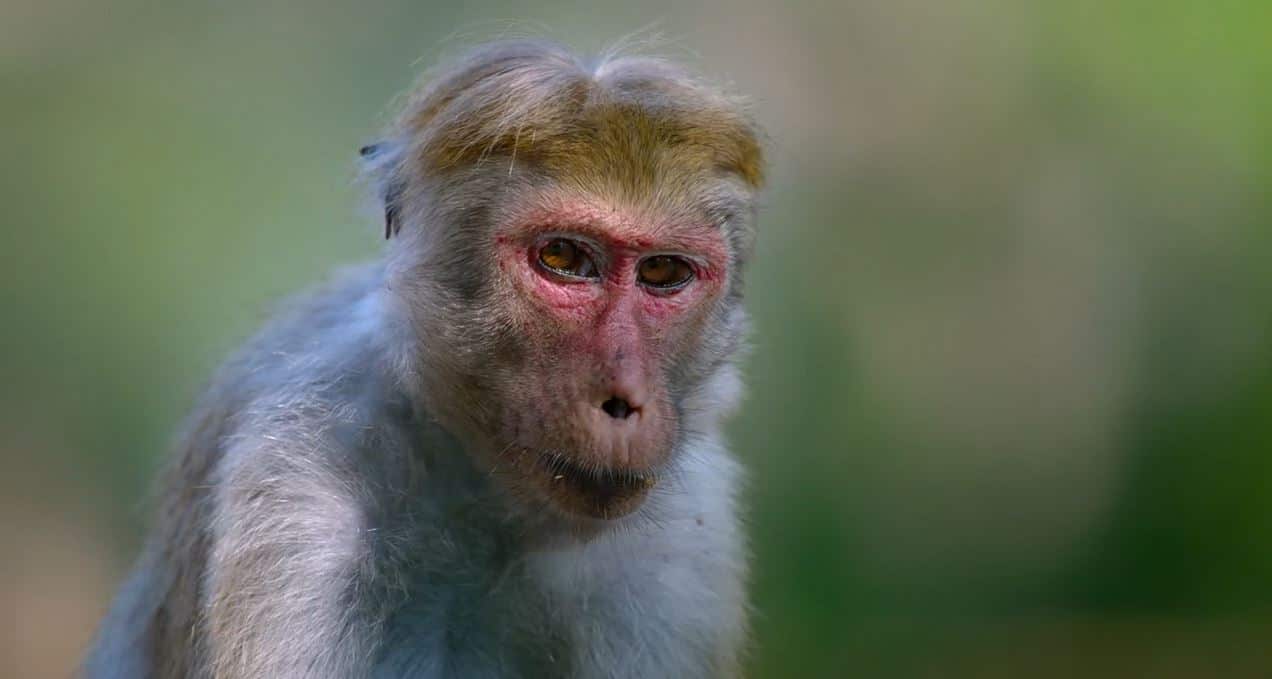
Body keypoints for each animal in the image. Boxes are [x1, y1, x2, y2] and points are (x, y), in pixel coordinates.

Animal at [84, 38, 765, 678]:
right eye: (564, 258)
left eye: (663, 272)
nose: (623, 400)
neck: (489, 502)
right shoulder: (299, 501)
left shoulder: (685, 550)